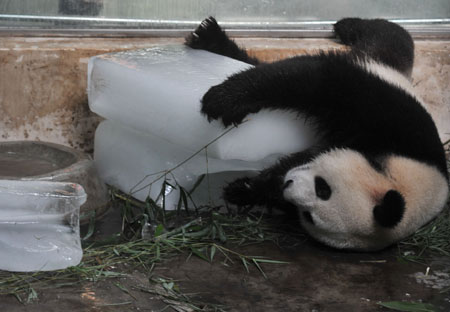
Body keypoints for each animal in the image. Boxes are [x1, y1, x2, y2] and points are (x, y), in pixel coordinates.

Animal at [185, 17, 448, 251]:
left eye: (309, 215)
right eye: (324, 189)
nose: (288, 184)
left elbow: (294, 162)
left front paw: (243, 189)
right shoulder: (390, 119)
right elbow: (318, 82)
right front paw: (224, 101)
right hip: (378, 68)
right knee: (388, 38)